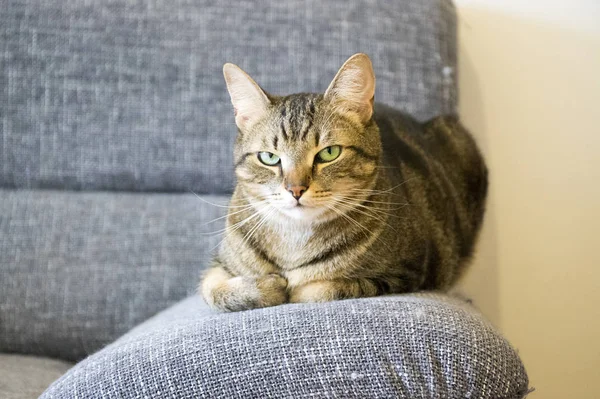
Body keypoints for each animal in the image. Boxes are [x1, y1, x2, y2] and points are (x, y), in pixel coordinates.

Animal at [199, 52, 486, 312]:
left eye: (329, 153)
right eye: (269, 157)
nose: (295, 189)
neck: (295, 241)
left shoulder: (406, 273)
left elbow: (317, 289)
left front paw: (290, 287)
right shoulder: (218, 265)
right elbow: (212, 289)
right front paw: (266, 287)